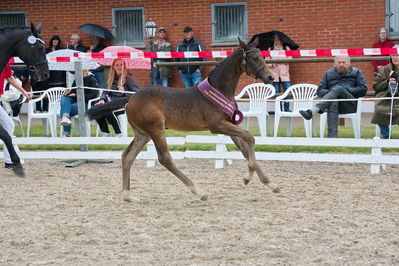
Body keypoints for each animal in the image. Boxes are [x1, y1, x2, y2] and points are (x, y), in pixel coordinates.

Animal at [87, 38, 282, 202]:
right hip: (156, 129)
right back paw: (199, 191)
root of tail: (131, 97)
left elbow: (244, 148)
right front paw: (247, 178)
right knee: (164, 158)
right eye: (255, 57)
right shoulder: (217, 126)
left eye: (262, 56)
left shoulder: (230, 124)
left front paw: (272, 185)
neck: (219, 89)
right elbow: (250, 137)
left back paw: (128, 195)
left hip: (143, 134)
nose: (271, 77)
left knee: (127, 156)